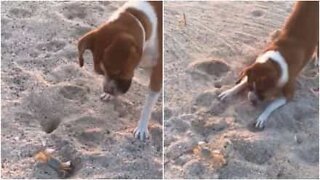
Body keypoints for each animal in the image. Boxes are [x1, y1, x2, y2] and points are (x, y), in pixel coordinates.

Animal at [77, 0, 162, 141]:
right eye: (101, 73)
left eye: (117, 73)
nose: (107, 90)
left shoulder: (157, 74)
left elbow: (148, 105)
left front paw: (142, 127)